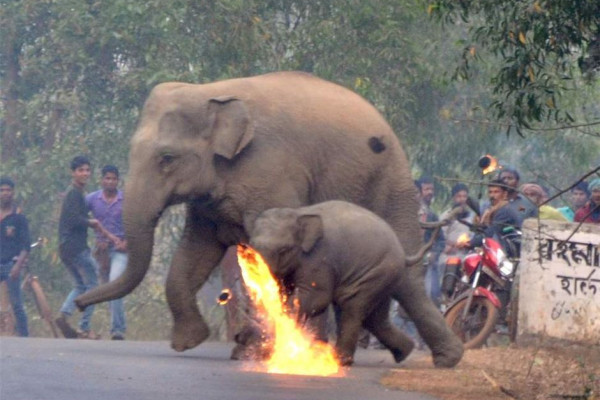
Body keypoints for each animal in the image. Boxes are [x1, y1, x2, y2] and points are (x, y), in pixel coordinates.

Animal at [248, 200, 432, 366]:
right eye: (251, 247)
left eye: (283, 250)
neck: (298, 213)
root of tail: (401, 251)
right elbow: (283, 292)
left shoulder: (319, 259)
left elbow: (317, 297)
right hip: (384, 278)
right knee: (376, 319)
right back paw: (404, 352)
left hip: (378, 272)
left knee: (352, 307)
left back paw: (341, 361)